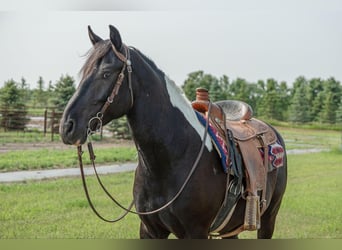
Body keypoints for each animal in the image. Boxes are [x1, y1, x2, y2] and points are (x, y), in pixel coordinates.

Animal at [60, 24, 288, 238]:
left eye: (106, 73)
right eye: (83, 73)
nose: (67, 127)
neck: (172, 157)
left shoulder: (196, 232)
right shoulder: (150, 230)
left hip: (269, 218)